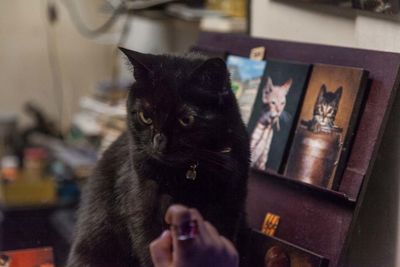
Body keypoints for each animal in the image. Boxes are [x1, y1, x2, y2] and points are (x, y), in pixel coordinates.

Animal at [68, 48, 250, 267]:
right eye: (145, 117)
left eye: (186, 120)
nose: (159, 141)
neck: (188, 175)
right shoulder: (143, 210)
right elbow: (149, 252)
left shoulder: (228, 208)